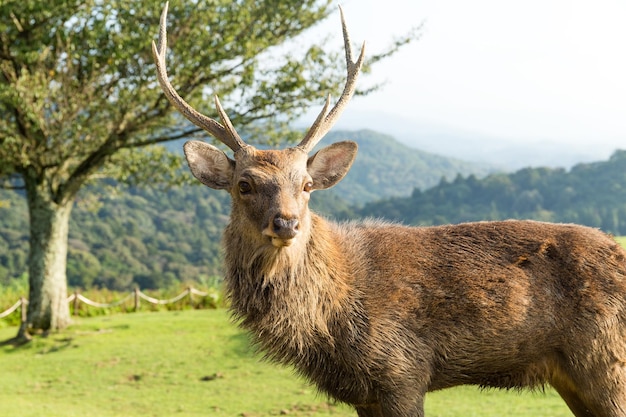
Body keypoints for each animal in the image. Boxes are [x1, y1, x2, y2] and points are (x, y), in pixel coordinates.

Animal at [152, 4, 624, 416]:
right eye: (244, 185)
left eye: (306, 185)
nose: (286, 222)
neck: (333, 324)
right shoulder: (363, 392)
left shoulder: (403, 369)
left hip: (607, 361)